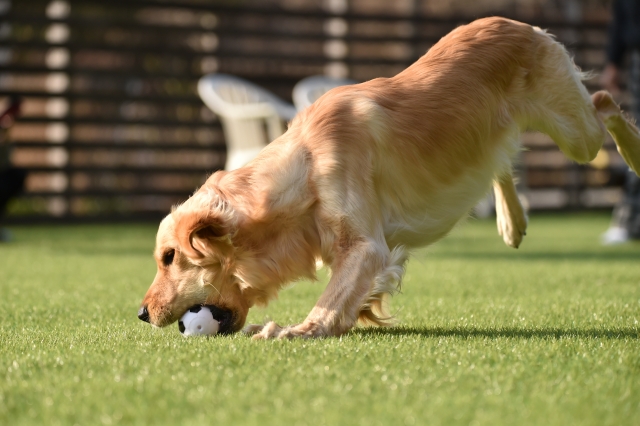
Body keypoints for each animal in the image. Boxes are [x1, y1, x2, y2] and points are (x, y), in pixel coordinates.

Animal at [139, 17, 640, 340]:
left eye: (168, 258)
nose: (141, 314)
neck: (304, 168)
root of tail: (522, 24)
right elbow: (351, 295)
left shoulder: (366, 245)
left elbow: (333, 295)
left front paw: (299, 328)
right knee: (501, 161)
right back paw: (511, 223)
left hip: (576, 133)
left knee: (604, 102)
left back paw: (634, 153)